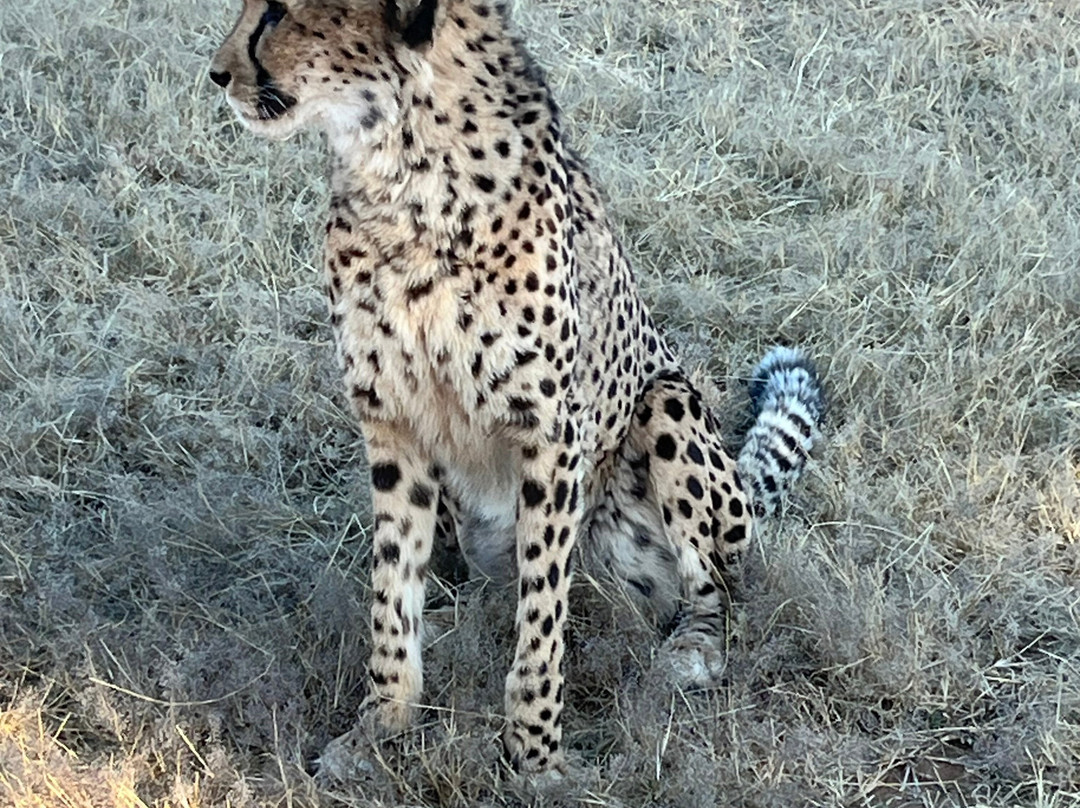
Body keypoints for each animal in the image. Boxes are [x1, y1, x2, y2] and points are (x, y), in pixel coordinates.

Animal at [209, 0, 825, 775]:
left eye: (279, 13)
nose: (217, 73)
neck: (400, 167)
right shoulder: (393, 421)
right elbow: (392, 588)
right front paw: (380, 726)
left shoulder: (551, 432)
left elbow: (541, 616)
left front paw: (536, 757)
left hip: (668, 406)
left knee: (714, 585)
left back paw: (690, 649)